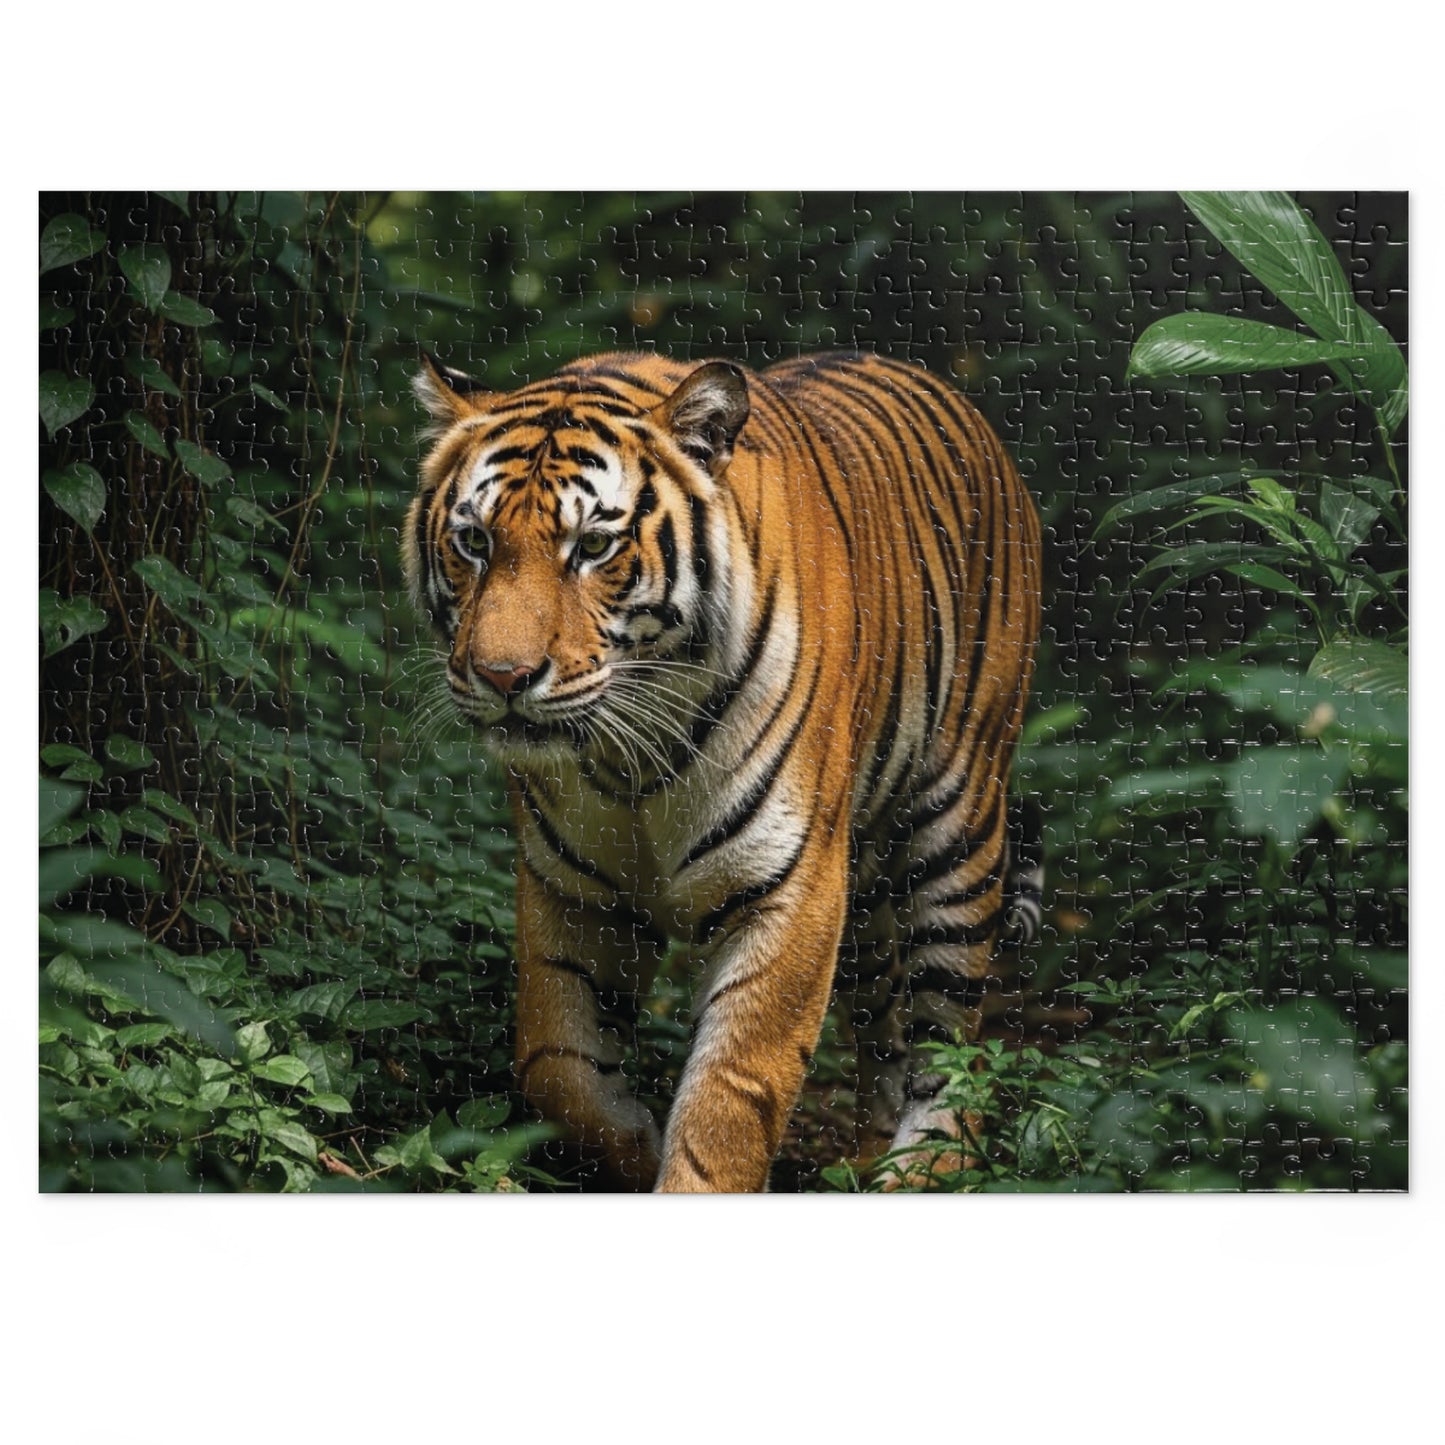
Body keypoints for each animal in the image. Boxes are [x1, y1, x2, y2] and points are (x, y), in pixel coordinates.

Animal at [405, 348, 1041, 1192]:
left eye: (593, 547)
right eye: (474, 541)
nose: (502, 676)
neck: (630, 753)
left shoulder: (788, 886)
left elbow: (731, 1094)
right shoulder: (568, 889)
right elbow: (555, 1065)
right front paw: (634, 1146)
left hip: (957, 828)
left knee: (949, 1036)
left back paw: (925, 1164)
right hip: (867, 886)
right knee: (884, 1024)